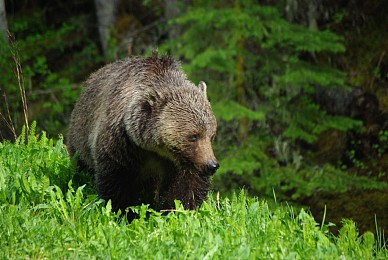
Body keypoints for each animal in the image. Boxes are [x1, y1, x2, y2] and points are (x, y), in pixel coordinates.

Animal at [66, 52, 218, 213]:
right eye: (193, 136)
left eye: (211, 135)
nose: (211, 165)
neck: (154, 149)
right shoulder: (121, 144)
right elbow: (117, 182)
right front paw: (124, 210)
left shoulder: (181, 163)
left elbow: (188, 185)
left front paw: (179, 209)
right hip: (80, 136)